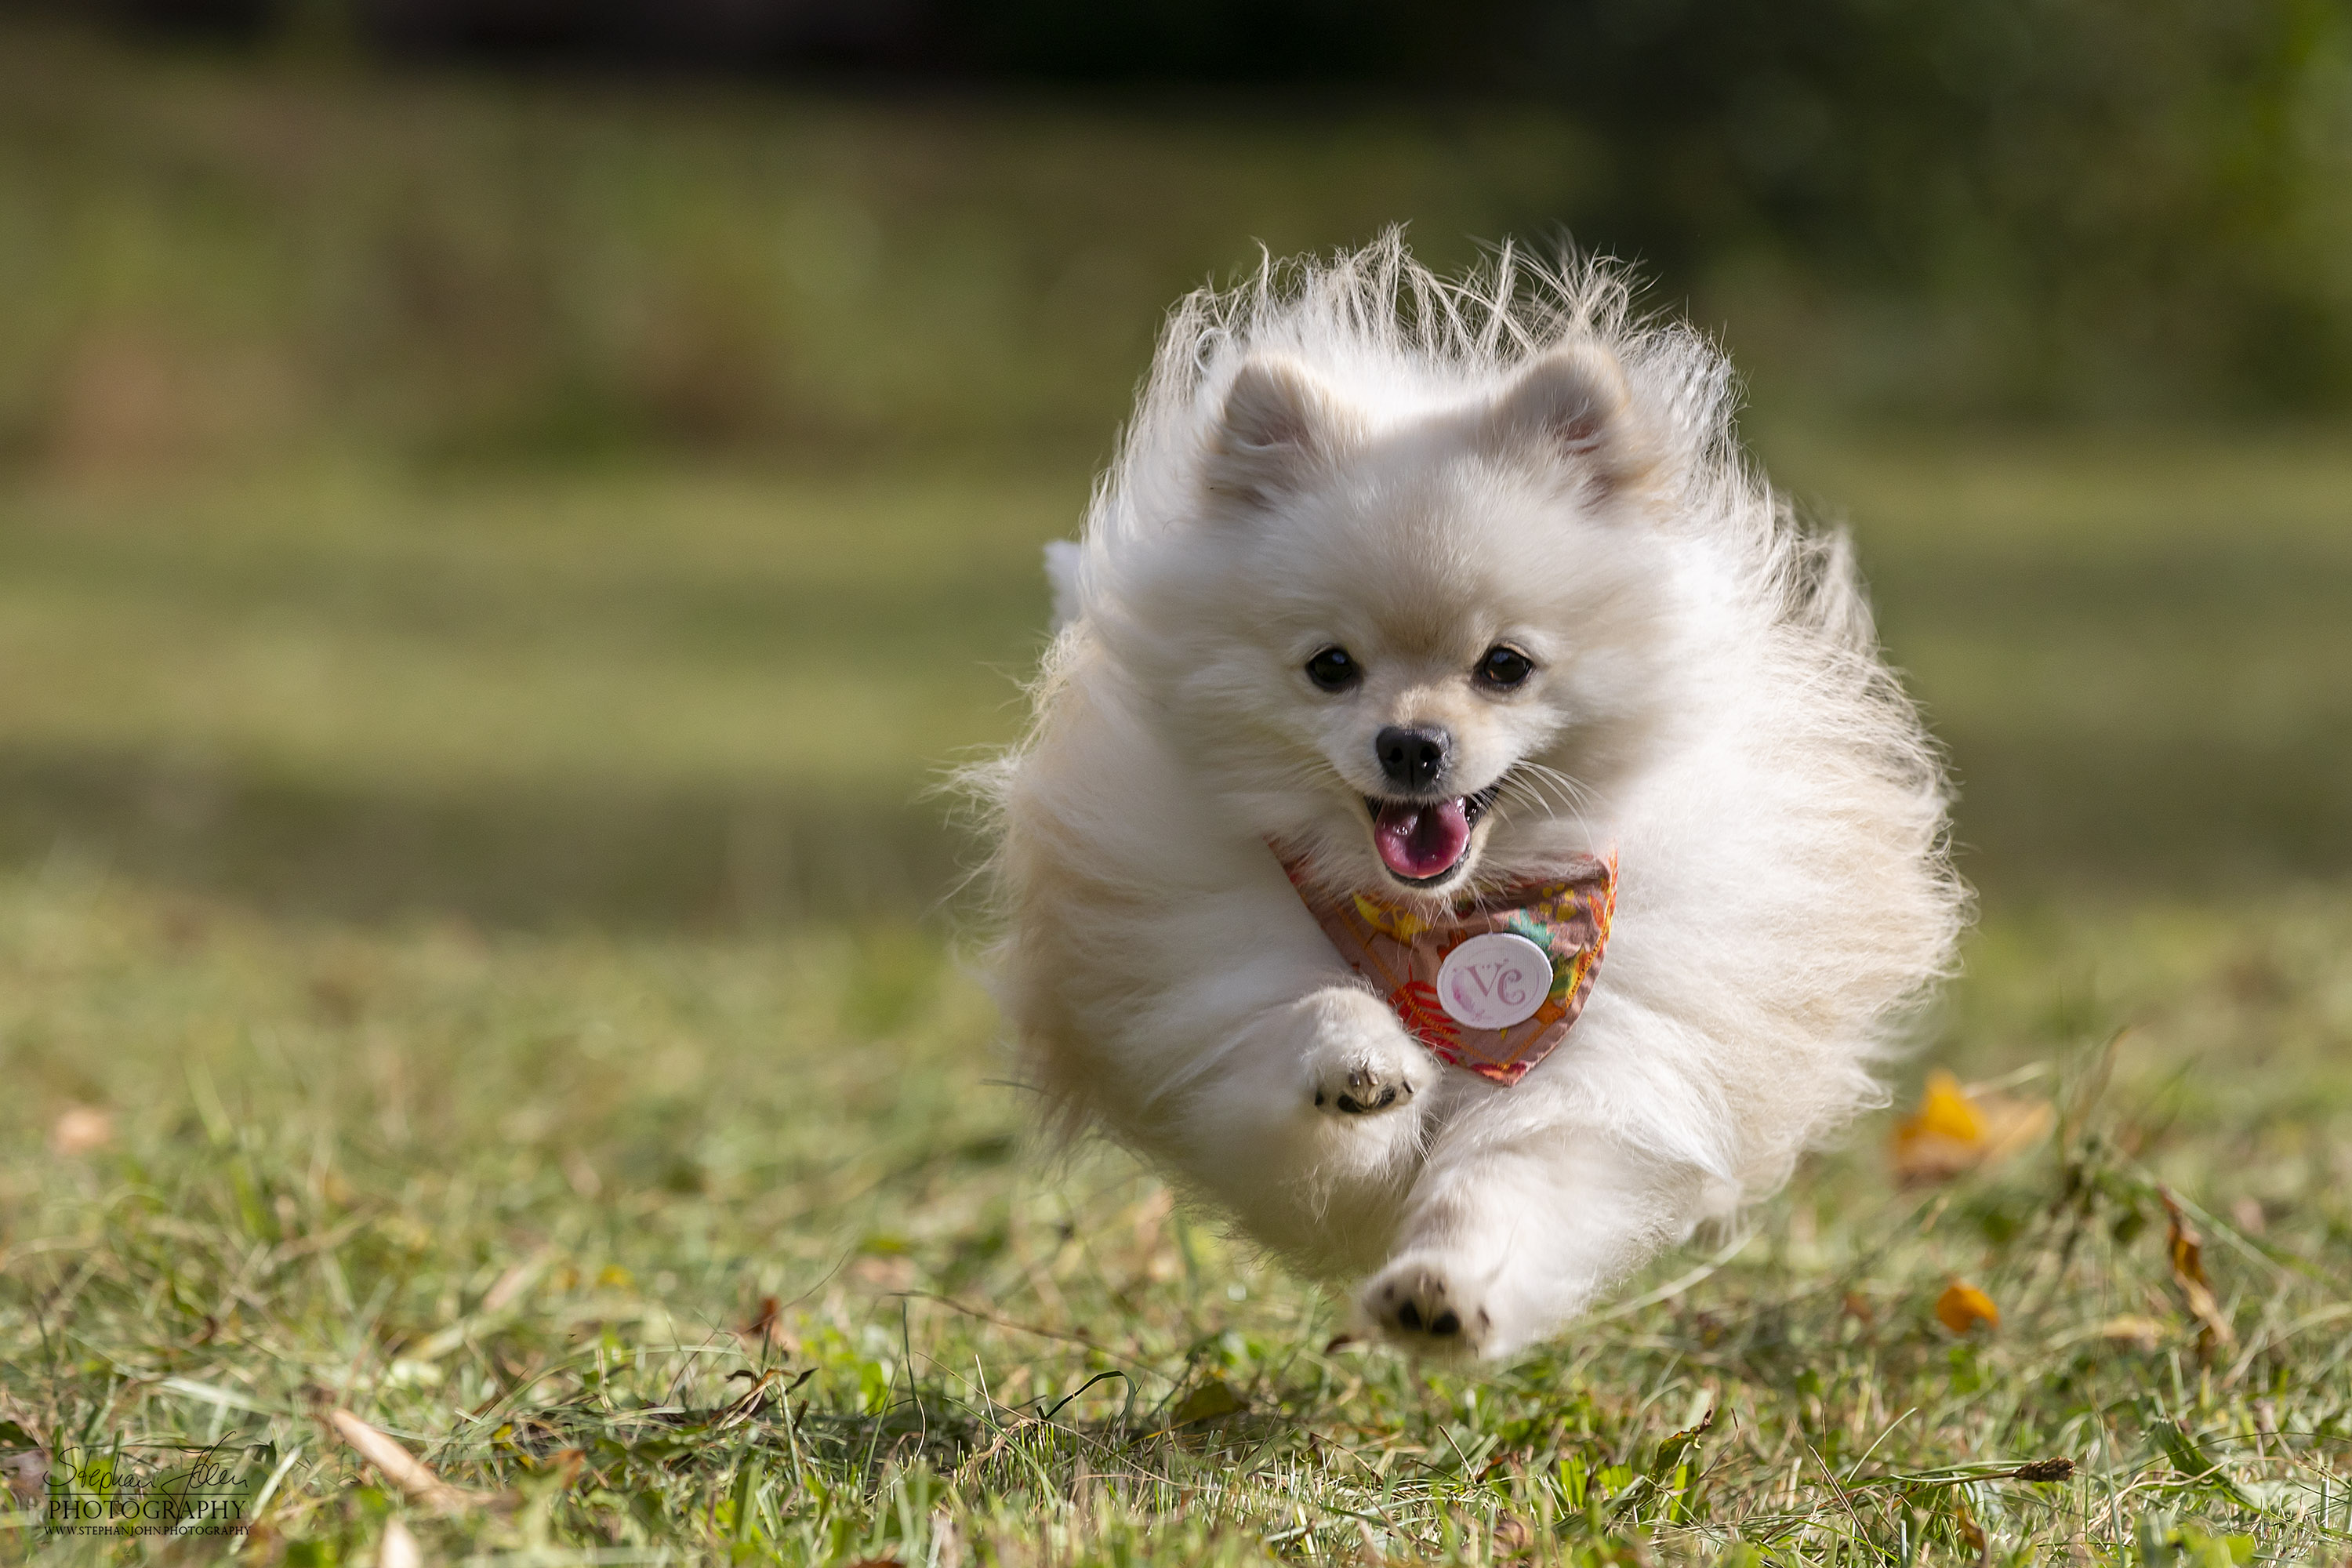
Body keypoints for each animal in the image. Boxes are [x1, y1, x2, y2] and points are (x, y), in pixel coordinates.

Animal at [974, 239, 1966, 1354]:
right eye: (1330, 667)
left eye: (1505, 666)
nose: (1411, 743)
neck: (1442, 927)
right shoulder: (1214, 1027)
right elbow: (1301, 1028)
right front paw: (1360, 1054)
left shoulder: (1589, 1078)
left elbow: (1499, 1190)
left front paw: (1441, 1291)